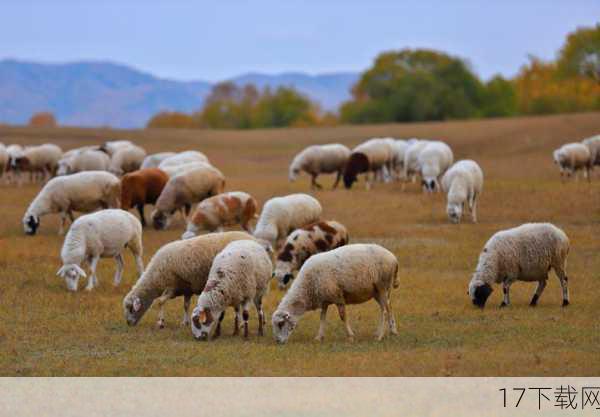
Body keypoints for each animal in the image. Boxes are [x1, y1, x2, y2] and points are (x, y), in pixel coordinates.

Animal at [123, 229, 256, 326]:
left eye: (131, 309)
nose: (128, 323)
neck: (155, 278)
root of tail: (252, 239)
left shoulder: (172, 286)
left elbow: (160, 301)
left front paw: (160, 322)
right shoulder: (186, 288)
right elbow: (185, 305)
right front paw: (185, 322)